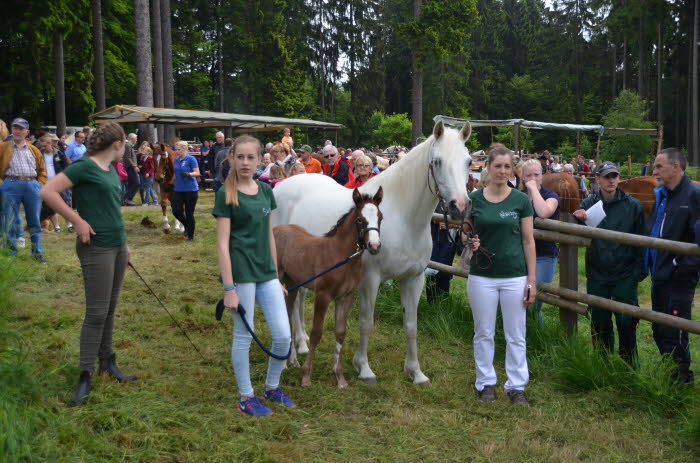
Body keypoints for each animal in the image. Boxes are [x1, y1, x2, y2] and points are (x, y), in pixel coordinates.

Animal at [274, 188, 382, 388]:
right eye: (359, 220)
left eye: (380, 217)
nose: (375, 246)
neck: (341, 257)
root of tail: (277, 229)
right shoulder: (323, 296)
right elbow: (316, 332)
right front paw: (306, 376)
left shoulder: (346, 297)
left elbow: (340, 332)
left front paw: (340, 378)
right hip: (278, 279)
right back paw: (283, 364)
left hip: (292, 283)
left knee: (288, 311)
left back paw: (291, 360)